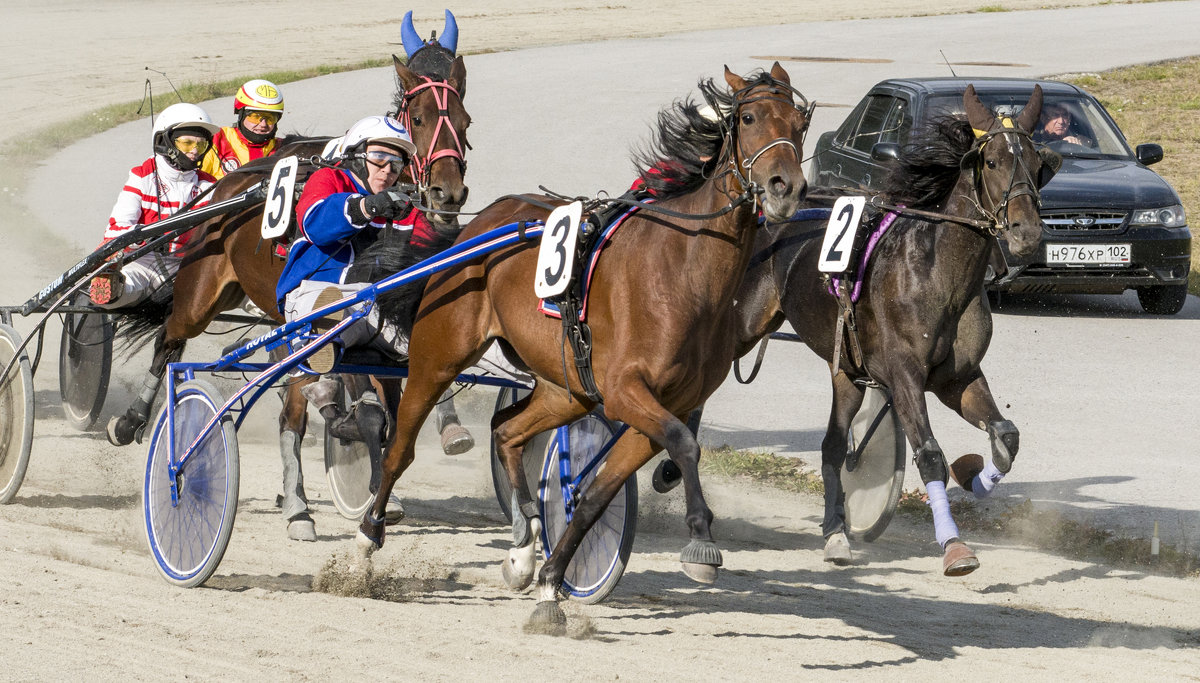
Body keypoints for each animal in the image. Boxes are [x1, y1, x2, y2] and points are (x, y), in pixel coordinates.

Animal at [350, 62, 811, 628]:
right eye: (747, 118)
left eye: (801, 122)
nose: (785, 187)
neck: (683, 270)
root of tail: (472, 229)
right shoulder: (627, 392)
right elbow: (685, 443)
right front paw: (701, 542)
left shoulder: (659, 404)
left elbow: (598, 493)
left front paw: (552, 582)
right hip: (438, 356)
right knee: (400, 447)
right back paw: (368, 534)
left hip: (565, 388)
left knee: (507, 432)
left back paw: (523, 548)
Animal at [724, 85, 1056, 576]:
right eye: (993, 161)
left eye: (1038, 164)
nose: (1026, 233)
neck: (937, 273)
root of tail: (767, 207)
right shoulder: (903, 377)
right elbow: (931, 456)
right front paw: (954, 546)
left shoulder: (958, 378)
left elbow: (1006, 437)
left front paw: (975, 473)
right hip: (740, 324)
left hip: (845, 367)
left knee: (833, 447)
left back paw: (836, 534)